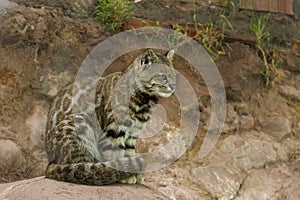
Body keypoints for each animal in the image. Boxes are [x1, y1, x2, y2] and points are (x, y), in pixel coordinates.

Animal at [44, 49, 176, 185]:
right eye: (163, 76)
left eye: (174, 75)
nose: (173, 86)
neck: (144, 101)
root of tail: (50, 161)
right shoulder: (113, 130)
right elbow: (115, 153)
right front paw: (123, 174)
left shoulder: (133, 132)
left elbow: (129, 152)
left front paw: (132, 171)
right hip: (81, 123)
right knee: (77, 168)